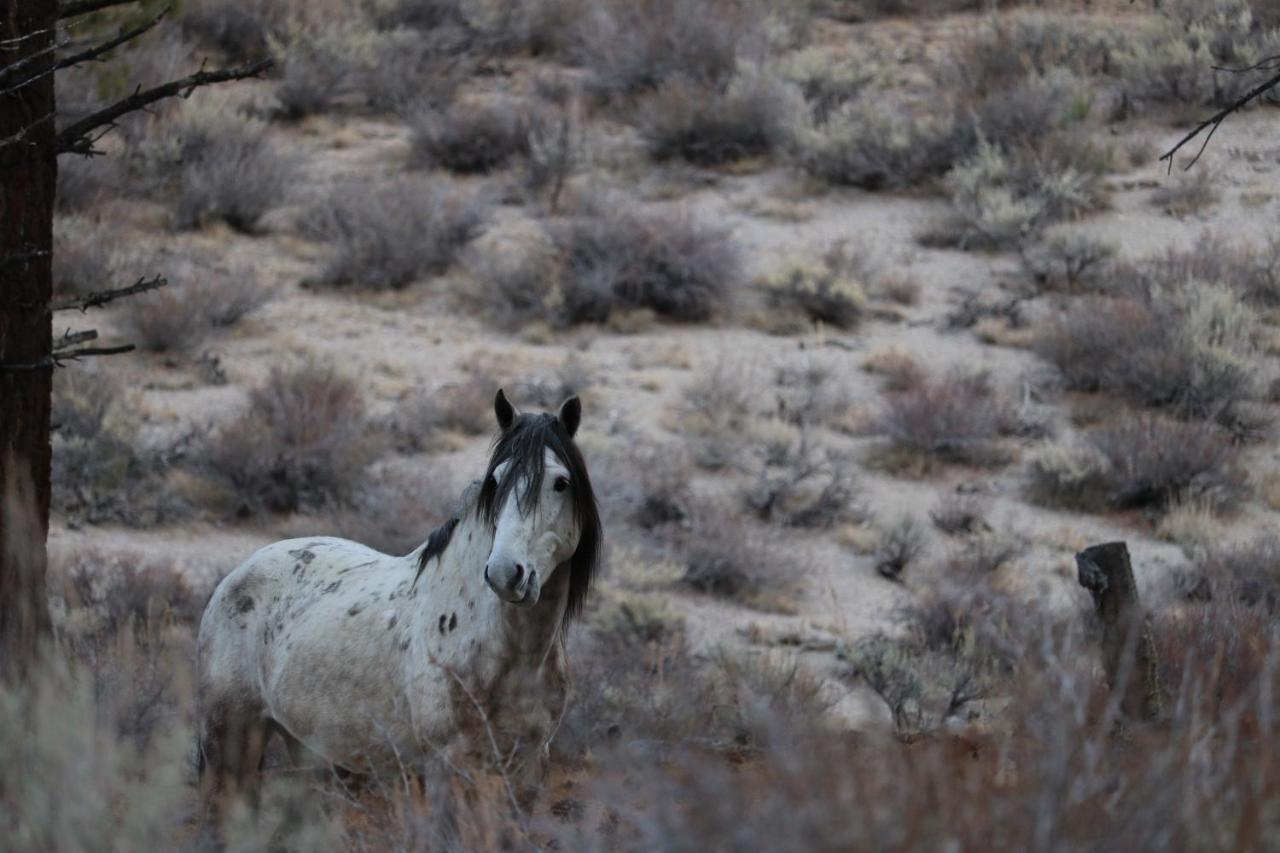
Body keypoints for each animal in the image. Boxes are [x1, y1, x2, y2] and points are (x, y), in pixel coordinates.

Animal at [195, 389, 604, 809]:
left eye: (561, 482)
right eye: (497, 480)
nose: (506, 574)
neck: (508, 650)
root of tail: (237, 574)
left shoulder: (529, 768)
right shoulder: (445, 765)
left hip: (307, 749)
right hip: (231, 741)